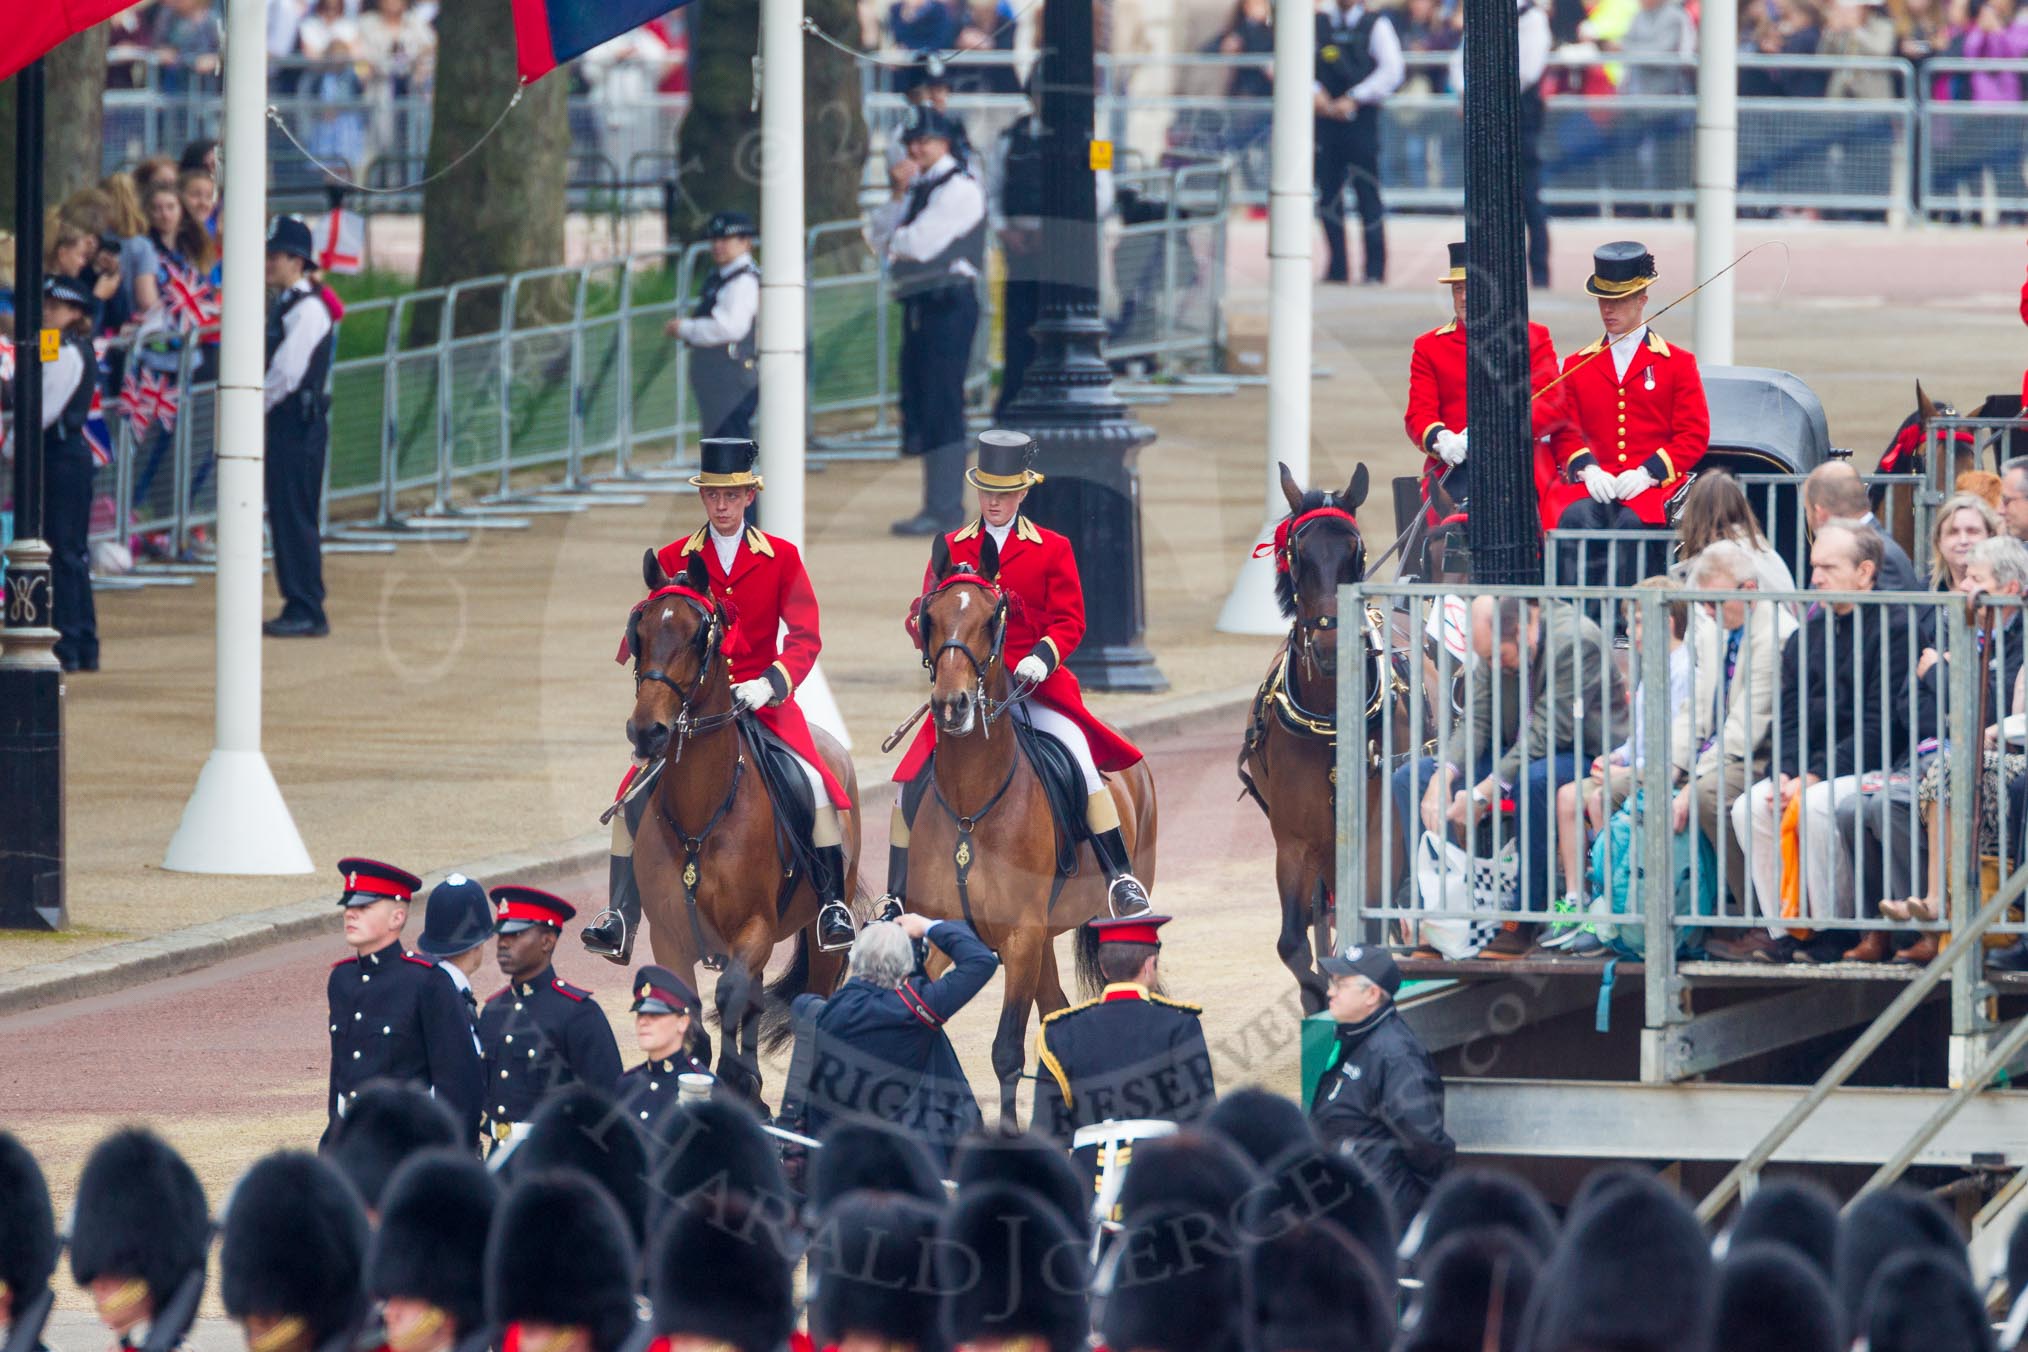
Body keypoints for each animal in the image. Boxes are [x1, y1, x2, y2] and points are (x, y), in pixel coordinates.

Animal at [628, 543, 859, 1102]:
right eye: (638, 632)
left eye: (699, 634)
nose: (647, 732)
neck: (702, 812)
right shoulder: (669, 935)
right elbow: (690, 1008)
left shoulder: (754, 927)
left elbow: (729, 995)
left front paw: (735, 1076)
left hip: (819, 937)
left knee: (809, 1002)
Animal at [1233, 466, 1411, 1013]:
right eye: (1298, 555)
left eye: (1356, 552)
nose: (1332, 649)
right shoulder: (1295, 842)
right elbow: (1293, 942)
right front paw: (1317, 996)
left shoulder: (1378, 832)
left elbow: (1370, 928)